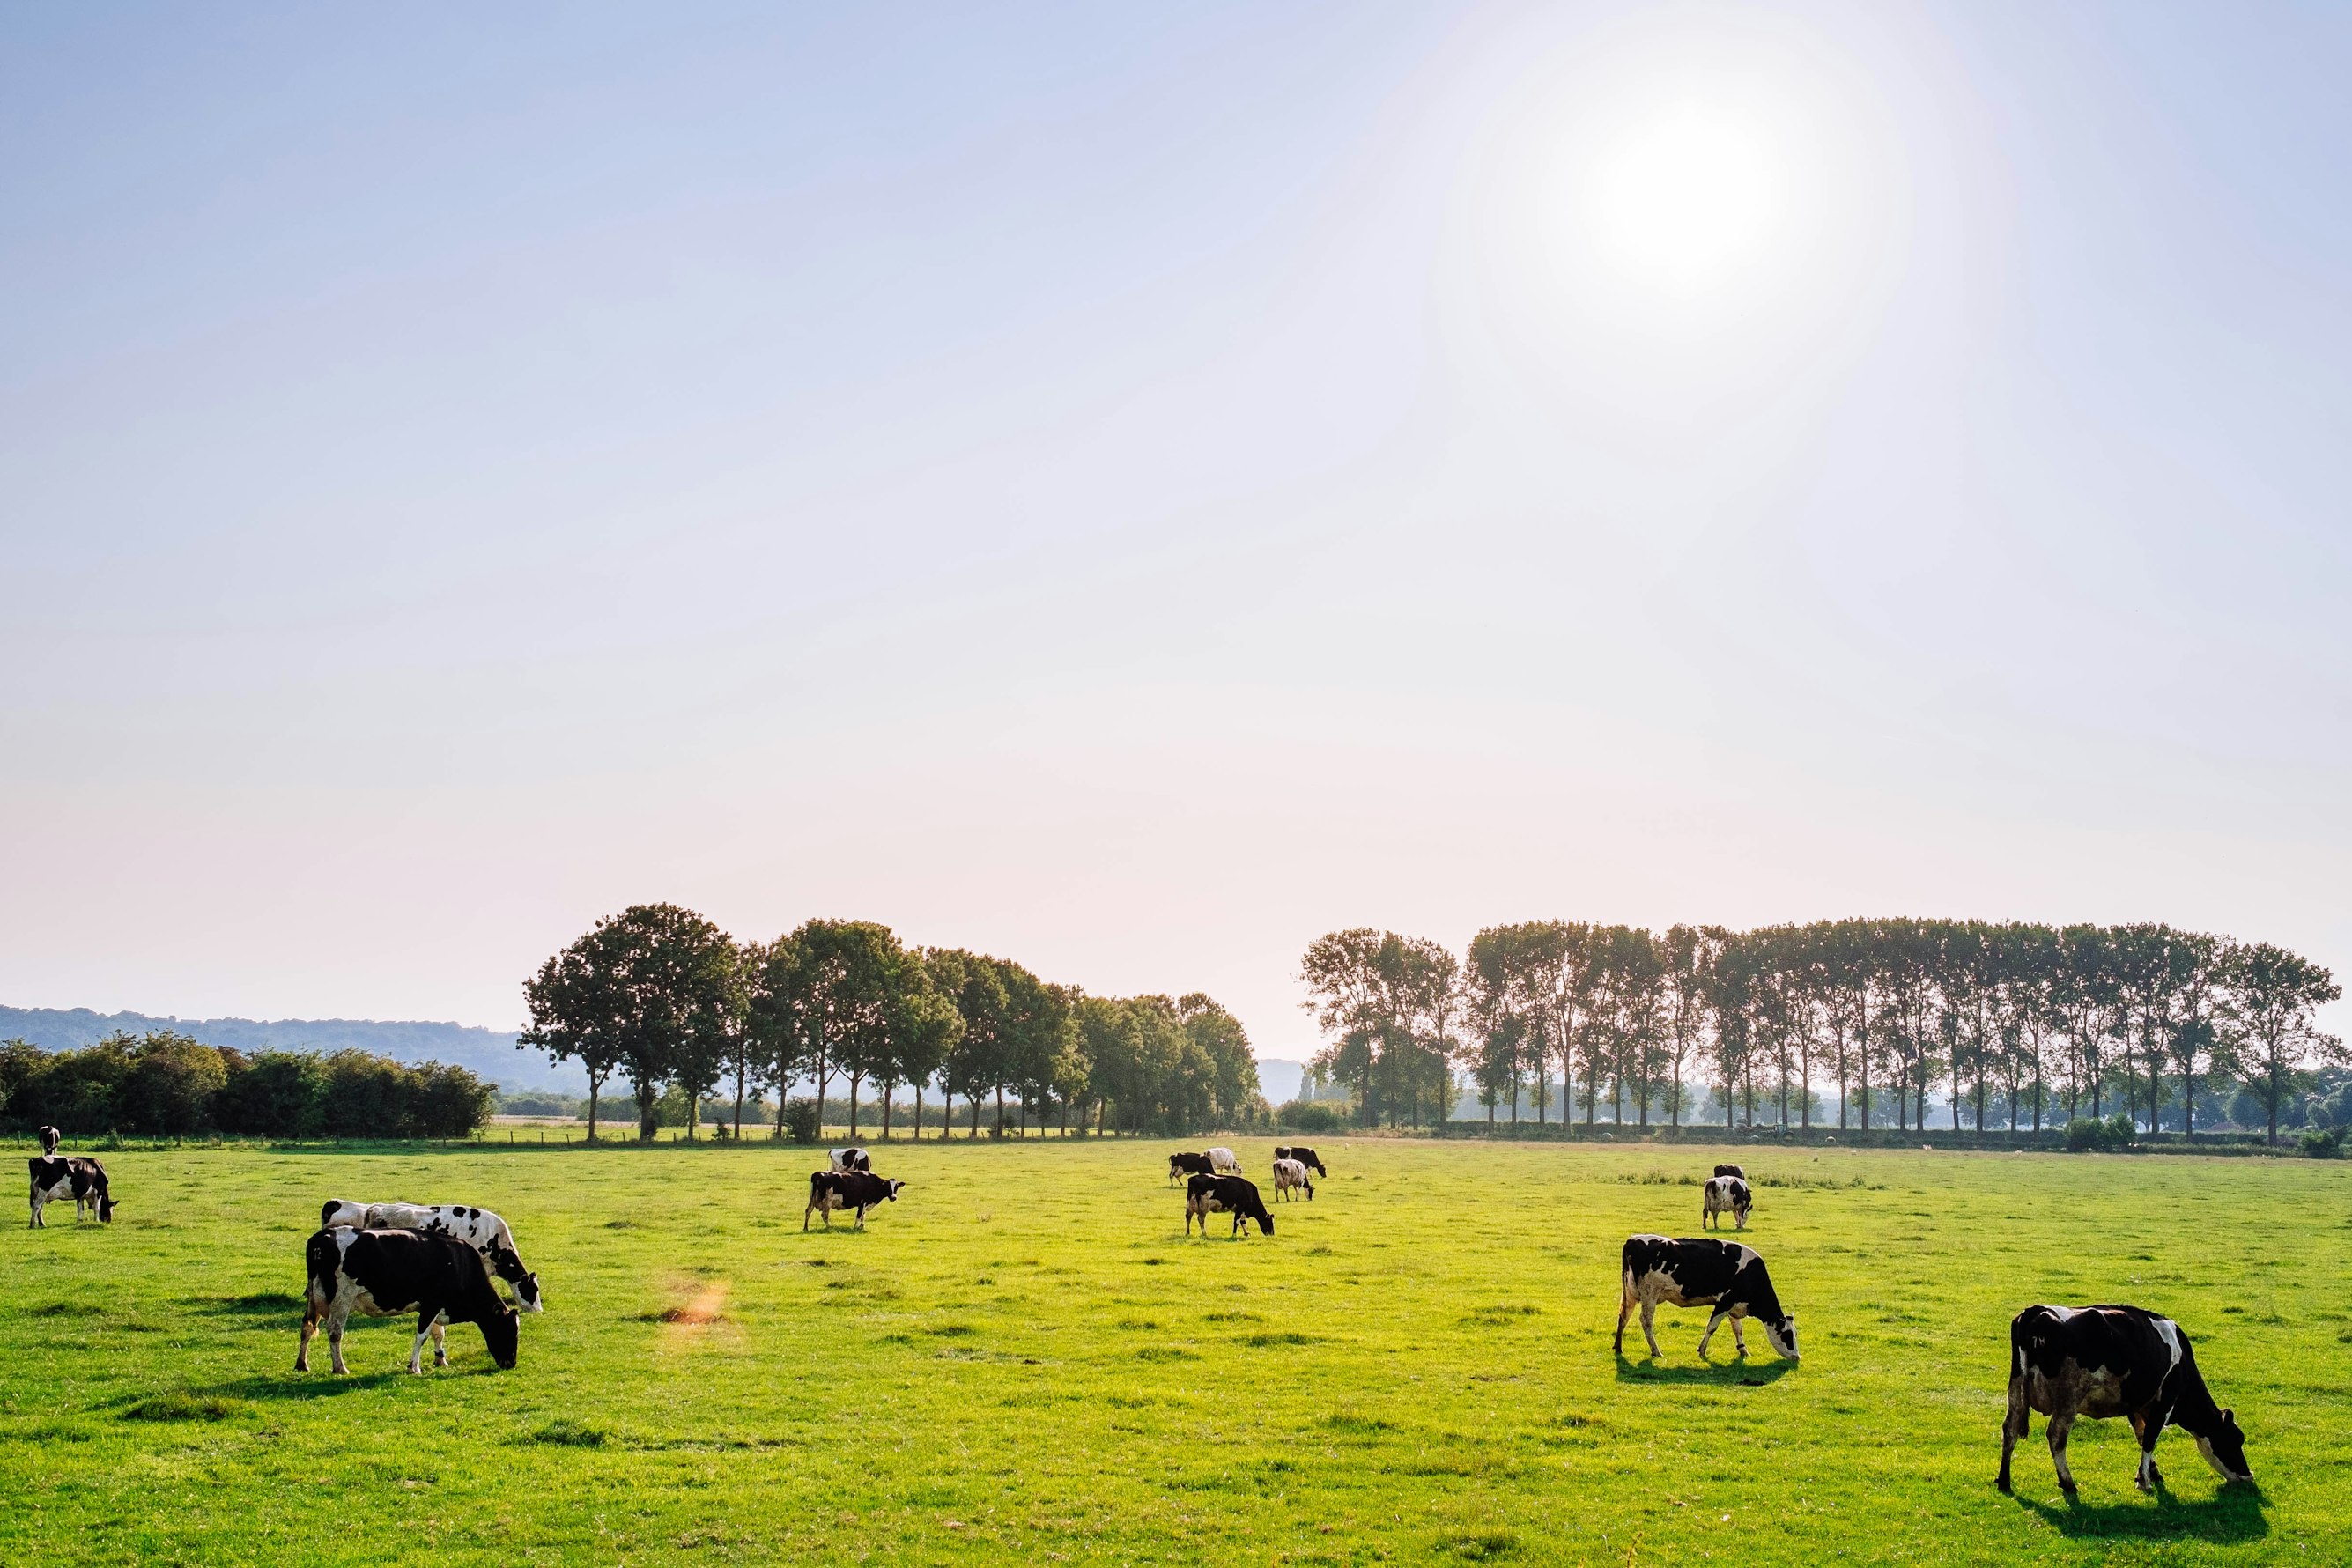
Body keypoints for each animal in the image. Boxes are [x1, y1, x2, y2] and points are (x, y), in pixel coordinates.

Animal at [296, 1222, 517, 1372]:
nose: (511, 1363)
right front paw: (414, 1367)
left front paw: (440, 1359)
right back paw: (340, 1367)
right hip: (341, 1297)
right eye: (509, 1331)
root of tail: (323, 1235)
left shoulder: (433, 1307)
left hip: (314, 1296)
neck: (458, 1263)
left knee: (307, 1326)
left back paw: (302, 1364)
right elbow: (422, 1335)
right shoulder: (432, 1303)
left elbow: (438, 1333)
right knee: (334, 1331)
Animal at [1617, 1241, 1796, 1363]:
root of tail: (1632, 1240)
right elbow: (1712, 1327)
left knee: (1624, 1316)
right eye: (1788, 1335)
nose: (1797, 1356)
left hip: (1630, 1293)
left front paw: (1744, 1351)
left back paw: (1618, 1348)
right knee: (1646, 1321)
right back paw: (1656, 1351)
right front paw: (1702, 1350)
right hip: (1650, 1295)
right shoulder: (1724, 1302)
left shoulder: (1734, 1305)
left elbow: (1737, 1329)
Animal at [1994, 1298, 2248, 1495]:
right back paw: (2068, 1483)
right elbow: (2150, 1438)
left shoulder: (2135, 1404)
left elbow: (2141, 1435)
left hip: (2016, 1390)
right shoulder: (2165, 1401)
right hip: (2068, 1397)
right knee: (2056, 1436)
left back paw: (2004, 1481)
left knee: (2010, 1429)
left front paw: (2150, 1473)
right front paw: (2145, 1482)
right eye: (2236, 1439)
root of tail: (2035, 1311)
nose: (2248, 1476)